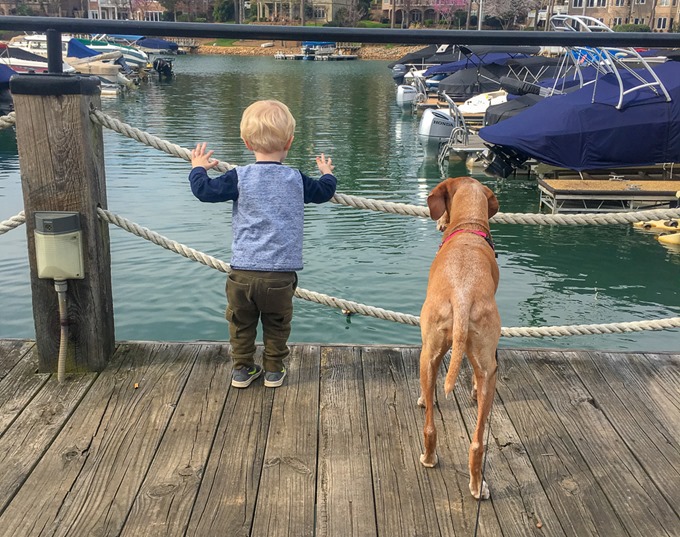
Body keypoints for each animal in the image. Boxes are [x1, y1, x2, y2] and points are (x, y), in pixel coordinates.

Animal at [418, 176, 502, 498]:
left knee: (430, 426)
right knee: (478, 442)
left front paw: (422, 397)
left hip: (429, 352)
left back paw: (429, 458)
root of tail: (462, 294)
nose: (439, 223)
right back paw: (477, 483)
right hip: (485, 364)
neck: (468, 226)